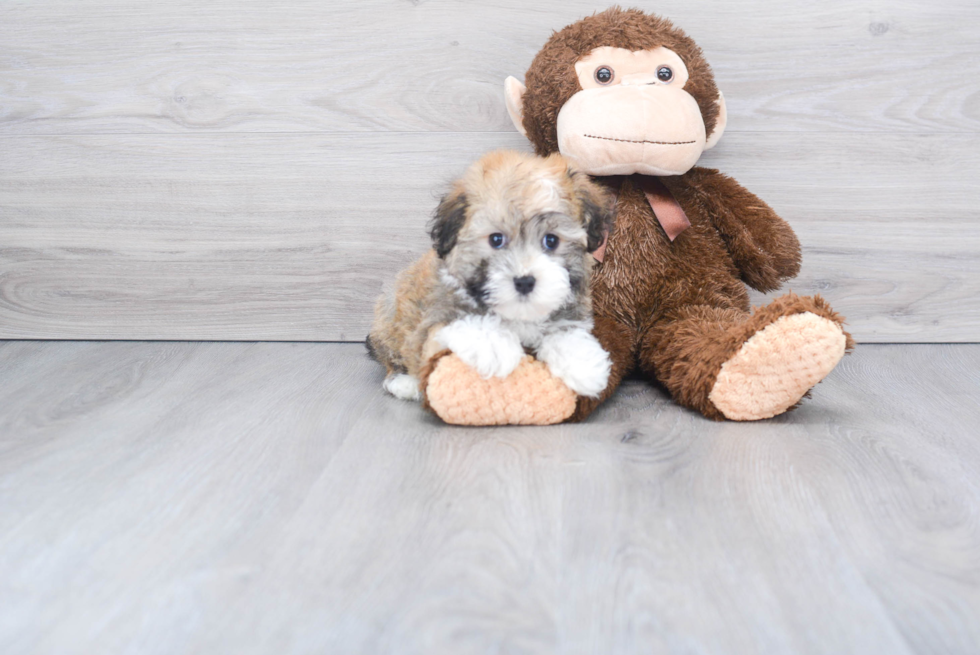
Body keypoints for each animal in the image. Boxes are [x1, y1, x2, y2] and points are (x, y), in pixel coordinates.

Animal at [368, 151, 612, 402]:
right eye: (496, 239)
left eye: (551, 240)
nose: (524, 282)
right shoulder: (435, 318)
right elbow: (461, 320)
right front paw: (494, 347)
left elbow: (566, 329)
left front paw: (582, 363)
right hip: (390, 317)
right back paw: (404, 382)